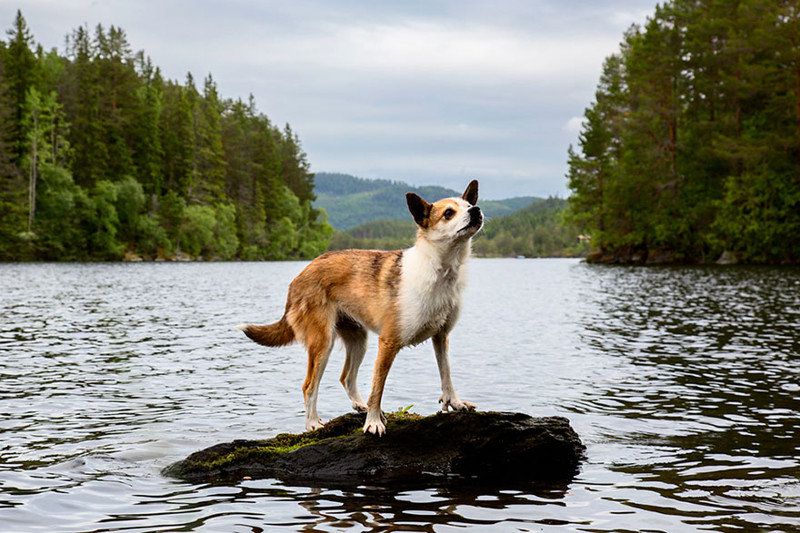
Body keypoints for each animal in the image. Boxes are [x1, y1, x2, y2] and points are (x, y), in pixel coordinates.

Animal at [236, 181, 482, 434]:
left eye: (468, 205)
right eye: (449, 213)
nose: (476, 211)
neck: (440, 270)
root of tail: (299, 277)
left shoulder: (441, 337)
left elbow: (447, 375)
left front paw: (455, 402)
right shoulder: (388, 342)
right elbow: (378, 388)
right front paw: (373, 422)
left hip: (358, 339)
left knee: (346, 377)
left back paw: (359, 405)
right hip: (322, 342)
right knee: (309, 385)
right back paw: (313, 422)